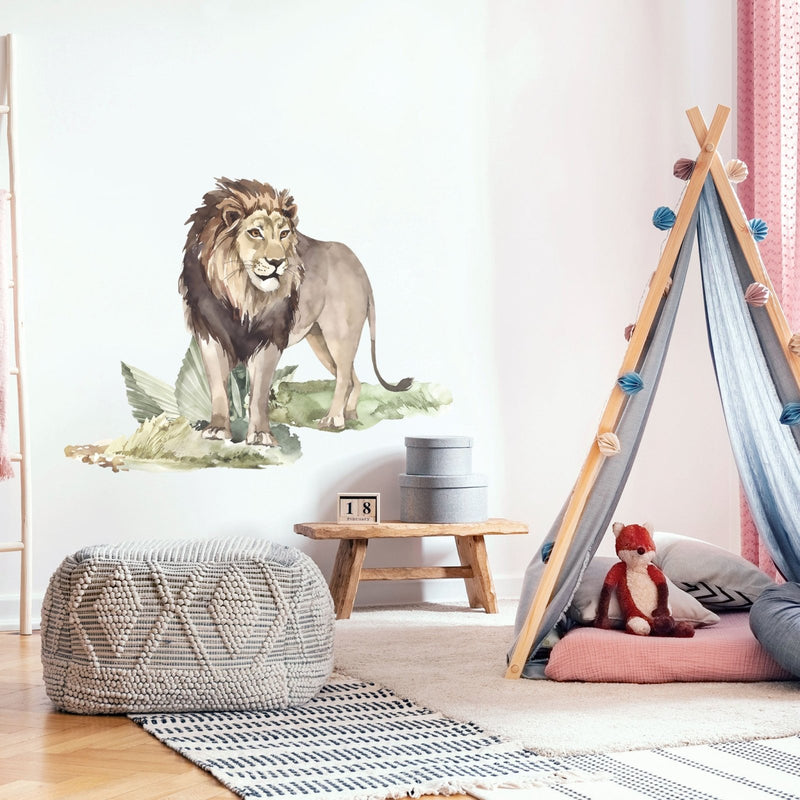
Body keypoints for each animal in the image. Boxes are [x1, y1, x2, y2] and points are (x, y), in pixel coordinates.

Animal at [179, 177, 413, 447]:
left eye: (284, 234)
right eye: (255, 232)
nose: (278, 263)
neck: (240, 295)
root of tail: (360, 268)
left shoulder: (269, 339)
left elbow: (258, 394)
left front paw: (261, 435)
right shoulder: (210, 335)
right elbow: (218, 388)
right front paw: (217, 429)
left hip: (340, 335)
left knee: (344, 376)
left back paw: (334, 419)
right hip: (320, 340)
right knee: (353, 379)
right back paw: (350, 414)